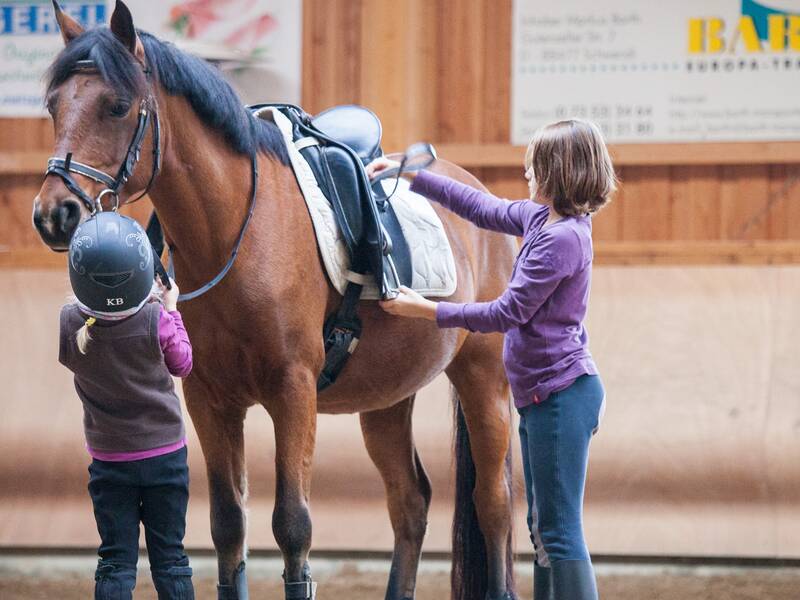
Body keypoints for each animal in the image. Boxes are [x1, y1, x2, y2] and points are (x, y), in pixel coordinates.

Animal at [32, 2, 520, 596]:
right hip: (385, 398)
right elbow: (227, 526)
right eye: (53, 106)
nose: (53, 215)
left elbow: (293, 525)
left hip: (483, 377)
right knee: (410, 502)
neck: (235, 234)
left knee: (493, 503)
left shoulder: (293, 391)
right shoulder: (210, 398)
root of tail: (482, 196)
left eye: (118, 106)